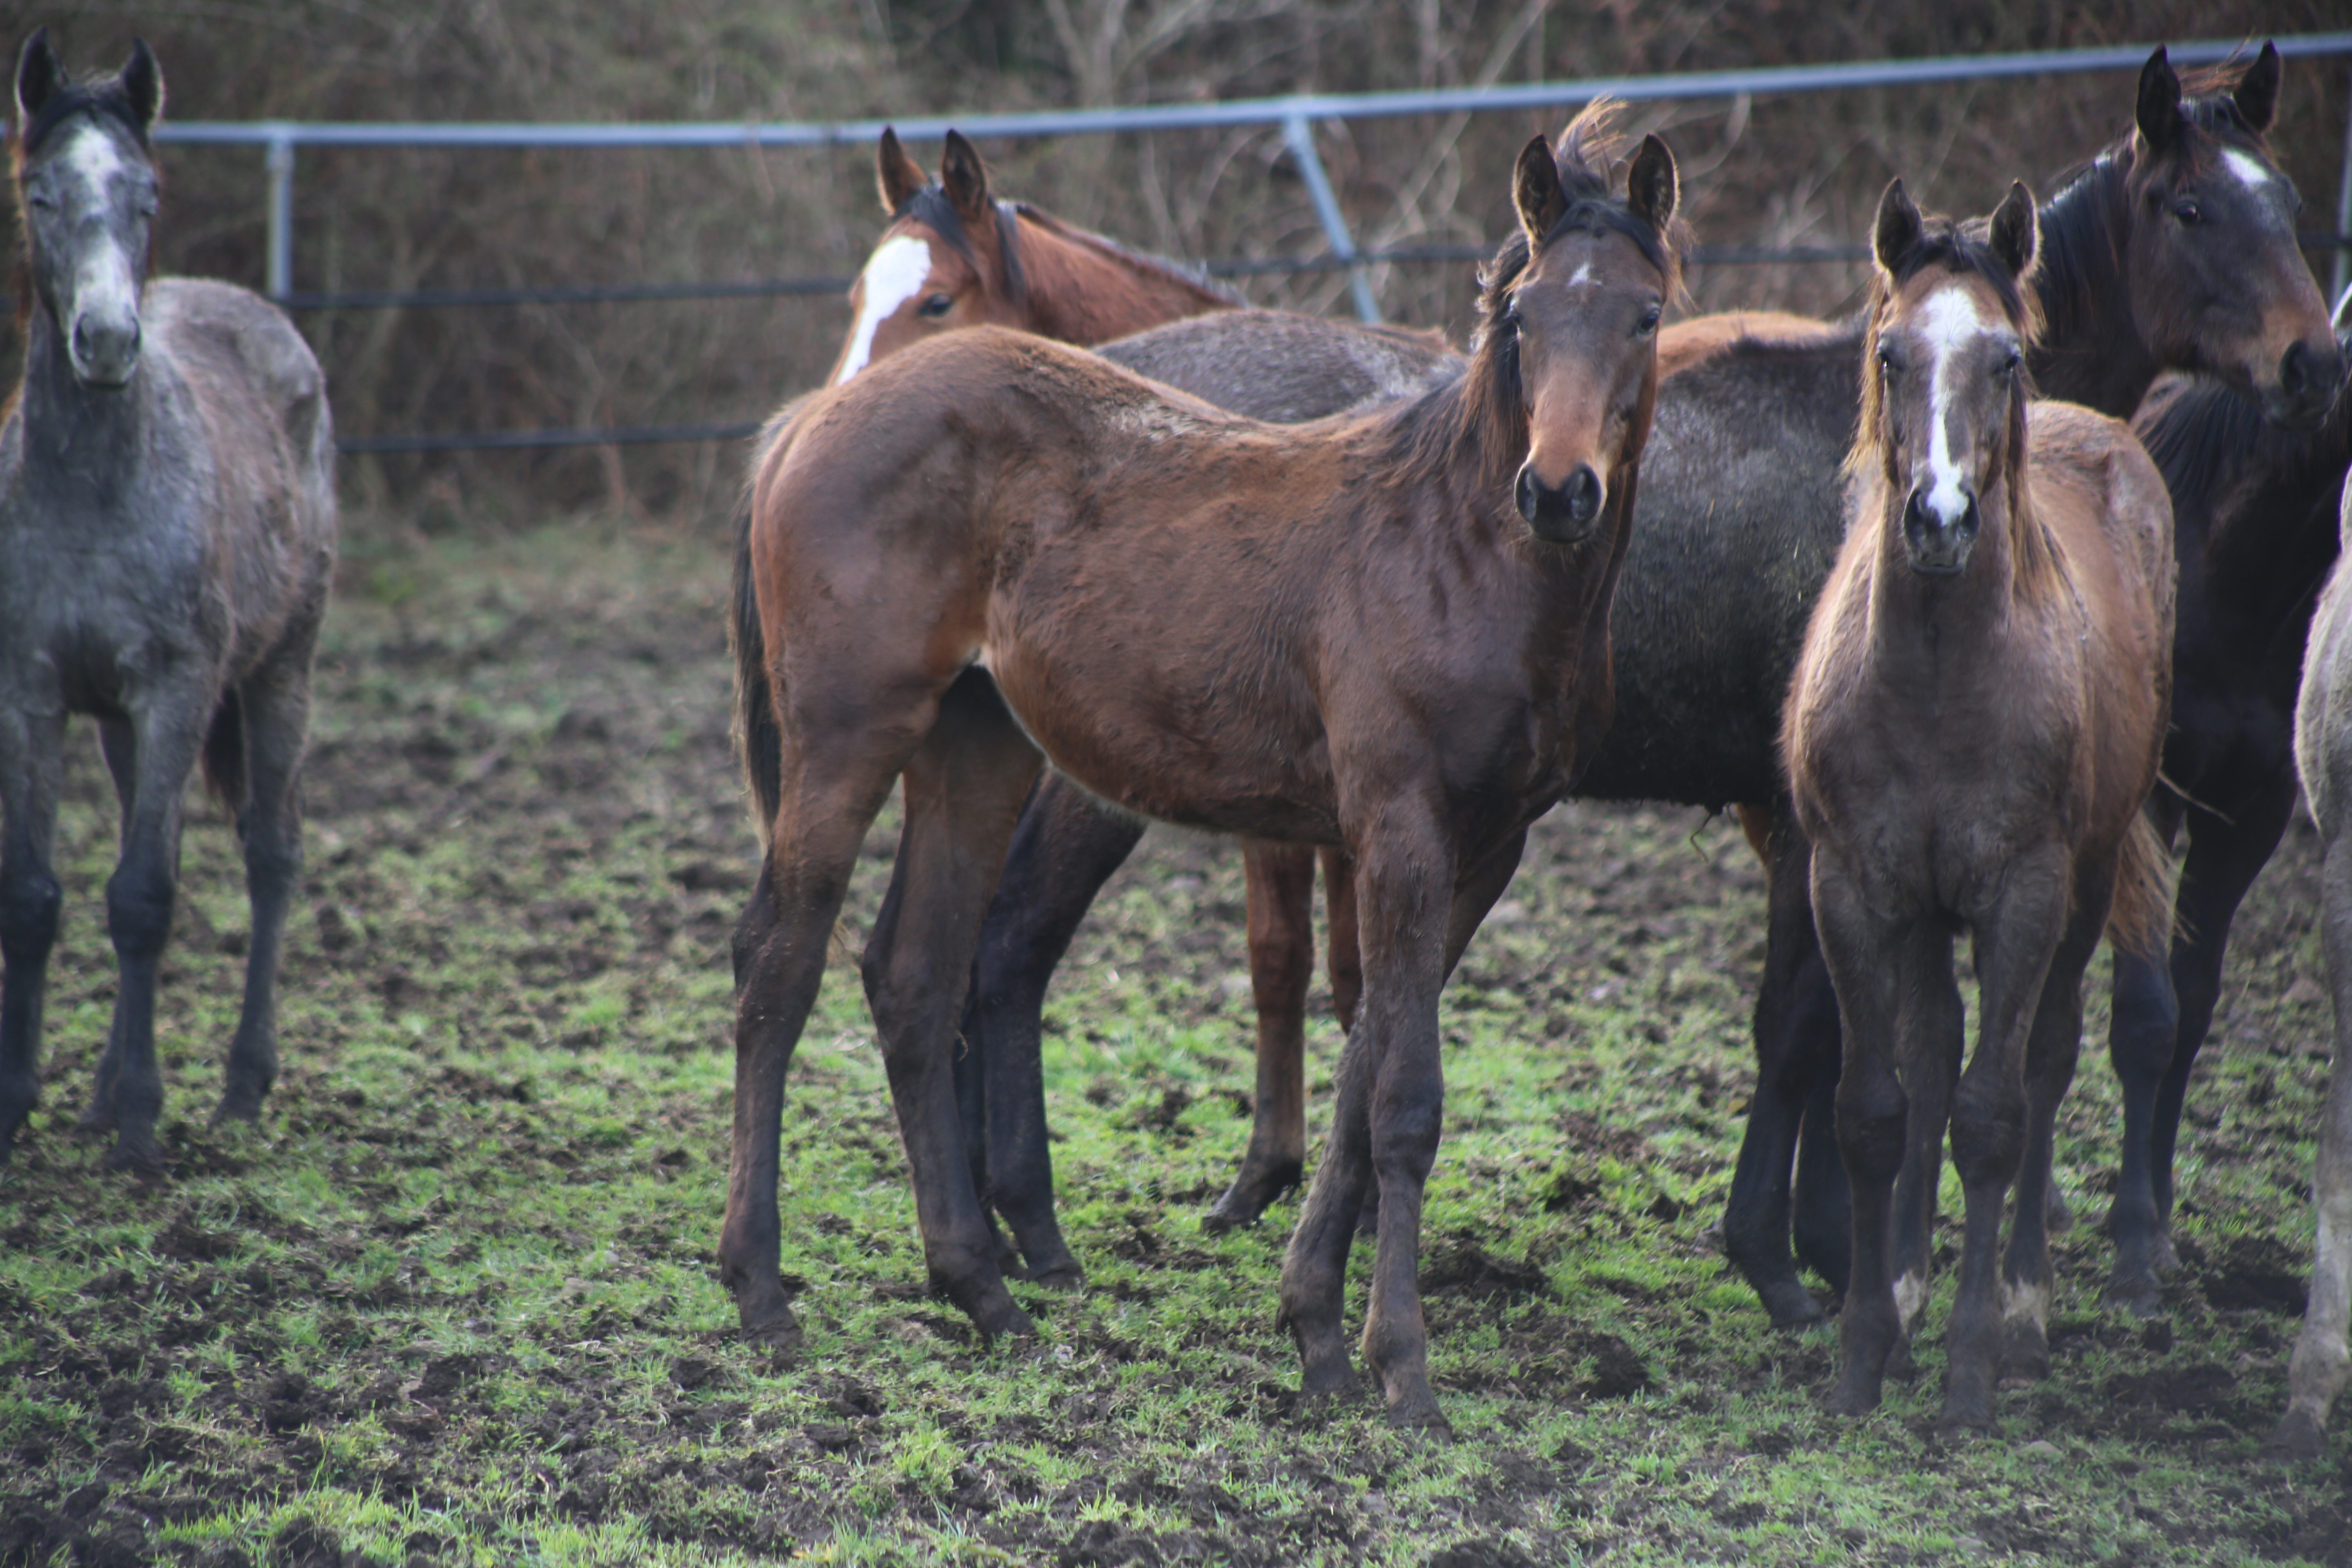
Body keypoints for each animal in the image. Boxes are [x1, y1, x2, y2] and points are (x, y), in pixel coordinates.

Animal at [0, 31, 341, 1171]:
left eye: (145, 194)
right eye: (43, 193)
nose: (107, 341)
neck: (94, 485)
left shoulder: (178, 688)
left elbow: (145, 897)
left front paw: (144, 1125)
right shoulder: (33, 693)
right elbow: (37, 897)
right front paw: (21, 1103)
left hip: (281, 673)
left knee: (270, 853)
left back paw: (239, 1085)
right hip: (120, 721)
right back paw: (101, 1094)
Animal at [724, 113, 1684, 1439]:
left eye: (1645, 314)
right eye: (1524, 315)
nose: (1557, 489)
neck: (1453, 547)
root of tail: (808, 423)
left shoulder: (1482, 846)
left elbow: (1362, 1066)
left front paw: (1317, 1333)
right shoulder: (1400, 826)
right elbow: (1404, 1099)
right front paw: (1402, 1369)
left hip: (977, 748)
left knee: (911, 974)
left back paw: (984, 1290)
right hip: (847, 735)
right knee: (779, 963)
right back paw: (764, 1291)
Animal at [1787, 177, 2173, 1429]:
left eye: (2005, 357)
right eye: (1888, 352)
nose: (1941, 518)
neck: (1937, 683)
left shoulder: (2023, 894)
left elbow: (1994, 1117)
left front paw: (1967, 1372)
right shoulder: (1854, 886)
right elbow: (1875, 1108)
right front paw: (1866, 1350)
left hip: (2083, 887)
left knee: (2043, 1062)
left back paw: (2021, 1309)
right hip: (1920, 911)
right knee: (1930, 1050)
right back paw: (1909, 1285)